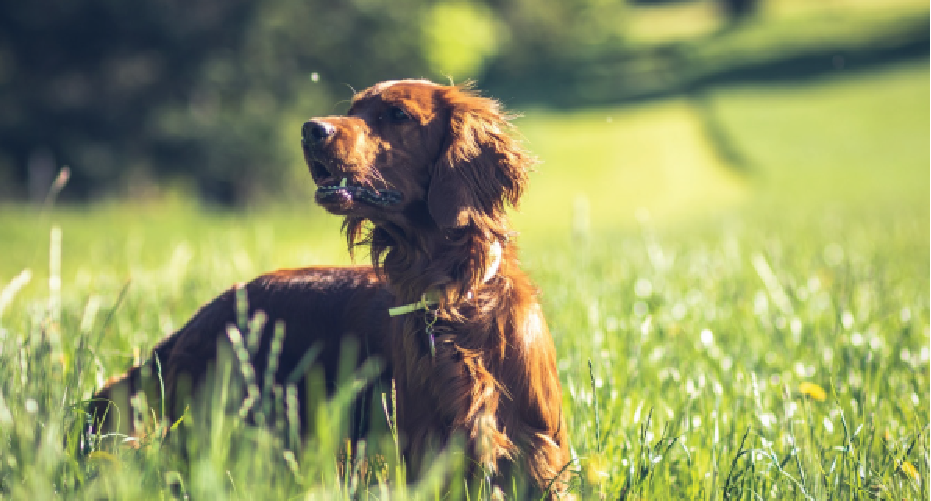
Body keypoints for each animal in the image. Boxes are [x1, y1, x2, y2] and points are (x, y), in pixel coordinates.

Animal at [93, 79, 576, 496]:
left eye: (397, 114)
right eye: (353, 109)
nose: (310, 130)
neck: (451, 297)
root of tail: (202, 317)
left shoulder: (539, 454)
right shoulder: (426, 449)